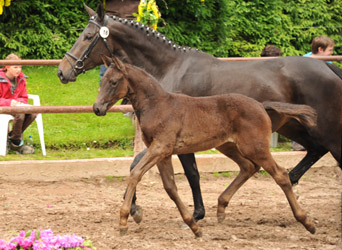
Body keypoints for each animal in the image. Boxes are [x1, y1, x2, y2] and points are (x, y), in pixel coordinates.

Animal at [92, 56, 316, 236]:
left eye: (113, 82)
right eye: (102, 81)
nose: (97, 108)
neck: (158, 105)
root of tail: (261, 105)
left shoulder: (161, 147)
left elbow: (135, 173)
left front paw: (123, 221)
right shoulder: (164, 153)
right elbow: (170, 187)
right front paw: (193, 225)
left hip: (256, 147)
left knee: (280, 174)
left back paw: (307, 222)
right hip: (229, 146)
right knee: (248, 166)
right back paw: (221, 208)